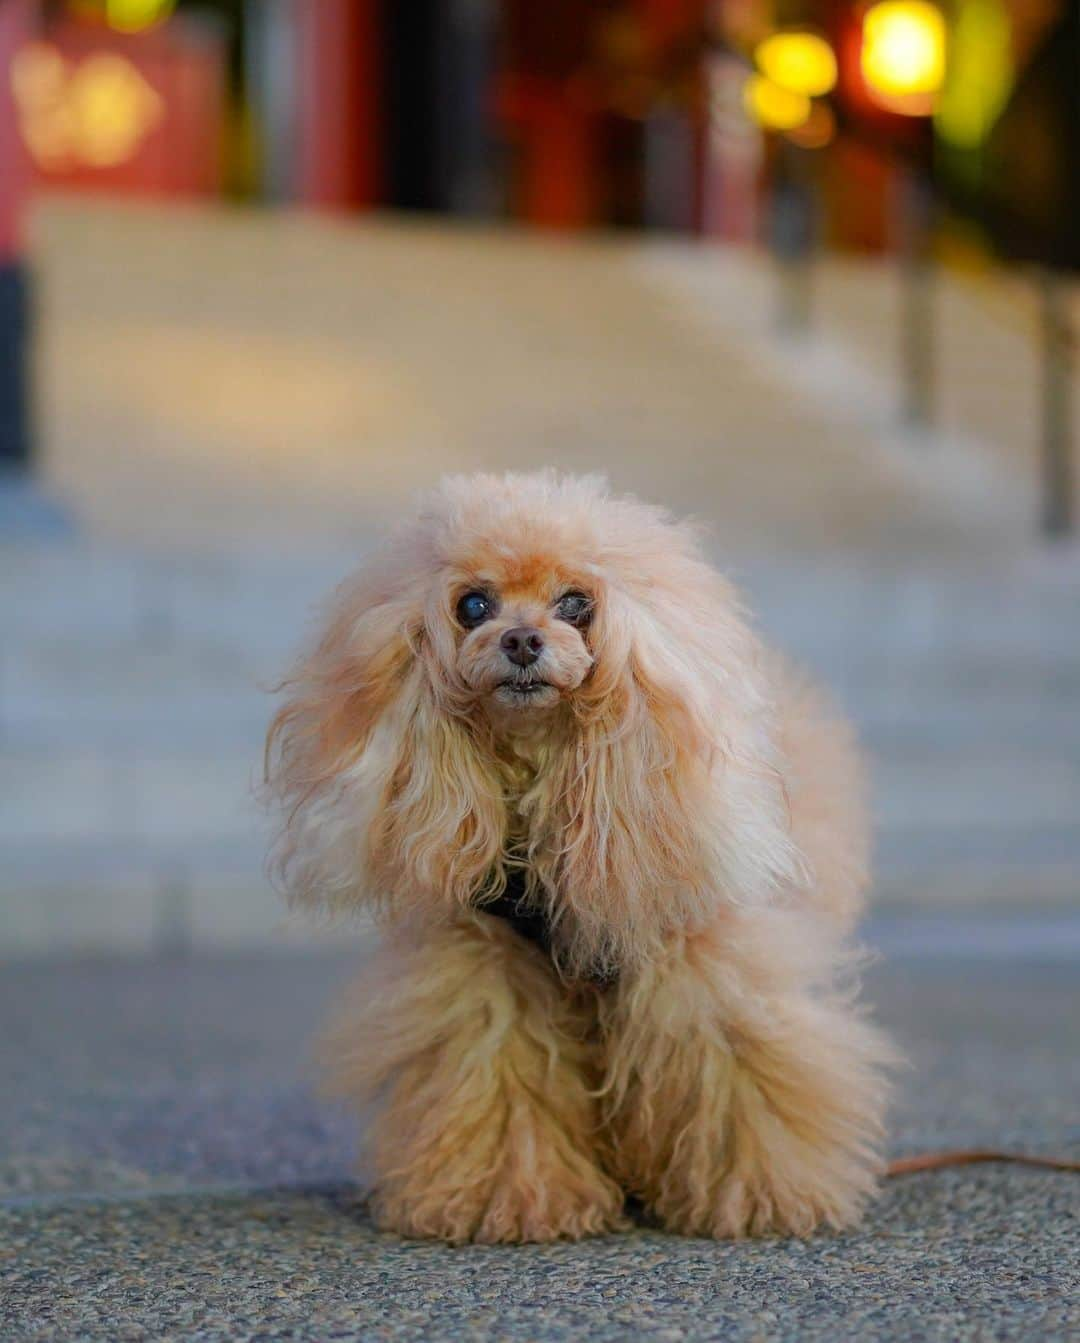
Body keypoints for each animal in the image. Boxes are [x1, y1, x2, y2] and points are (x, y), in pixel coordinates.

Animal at [265, 475, 891, 1246]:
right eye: (473, 605)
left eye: (576, 604)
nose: (522, 639)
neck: (548, 770)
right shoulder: (490, 972)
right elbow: (501, 1081)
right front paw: (507, 1198)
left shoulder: (698, 959)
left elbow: (733, 1070)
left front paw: (759, 1194)